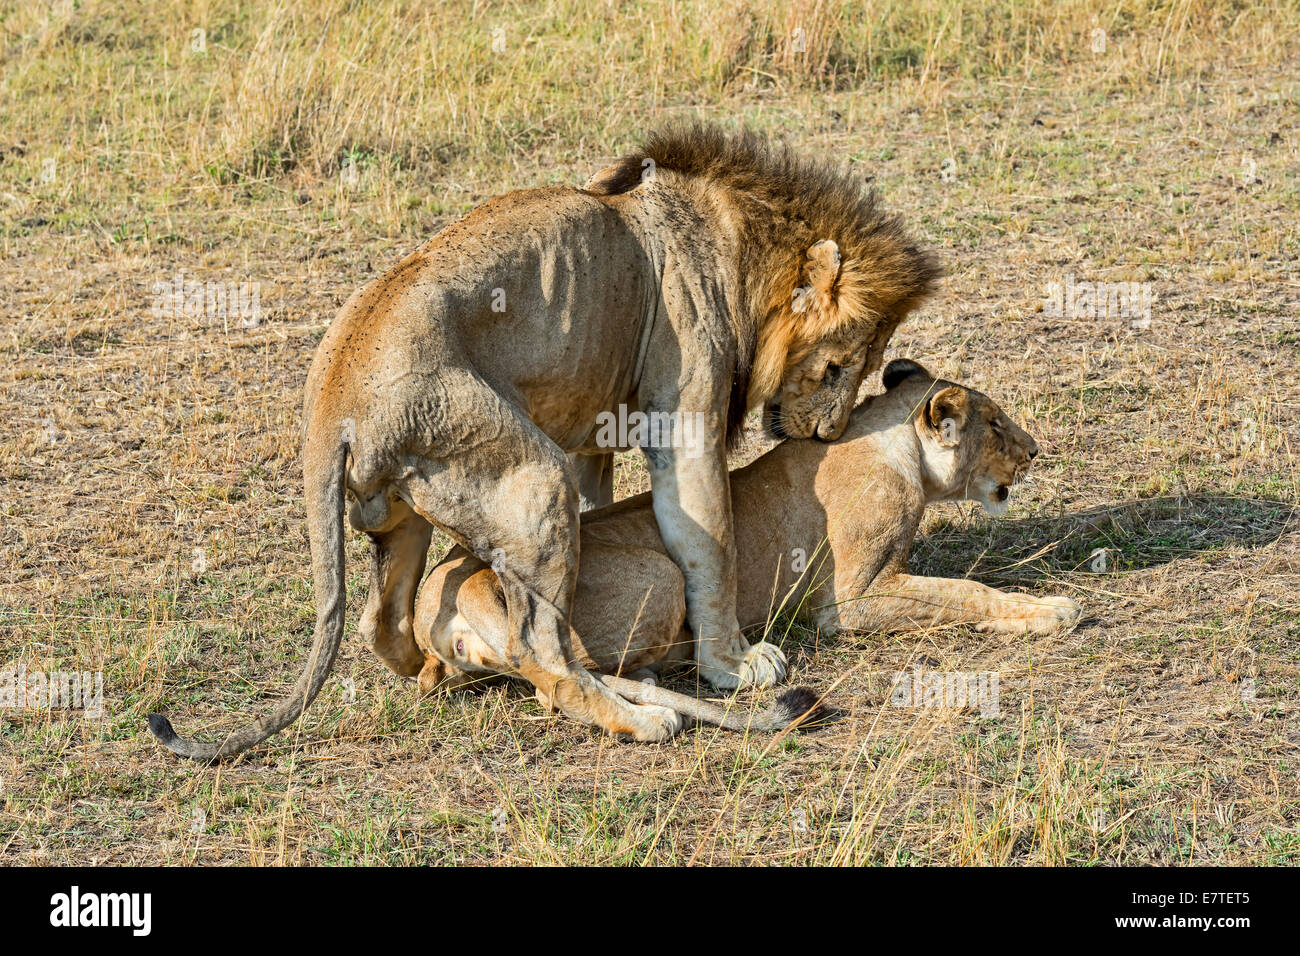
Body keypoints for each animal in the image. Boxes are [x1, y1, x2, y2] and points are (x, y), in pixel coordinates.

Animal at [148, 124, 939, 759]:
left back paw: (461, 674)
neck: (733, 244)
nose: (831, 432)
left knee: (386, 621)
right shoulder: (682, 416)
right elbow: (709, 545)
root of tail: (328, 401)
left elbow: (611, 510)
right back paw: (642, 718)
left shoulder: (595, 429)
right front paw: (734, 666)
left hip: (405, 513)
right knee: (544, 656)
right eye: (838, 364)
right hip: (529, 476)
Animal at [413, 358, 1083, 724]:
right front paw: (1050, 610)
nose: (1034, 450)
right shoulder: (848, 601)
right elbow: (962, 590)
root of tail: (447, 590)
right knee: (567, 680)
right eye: (994, 424)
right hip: (657, 572)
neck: (897, 446)